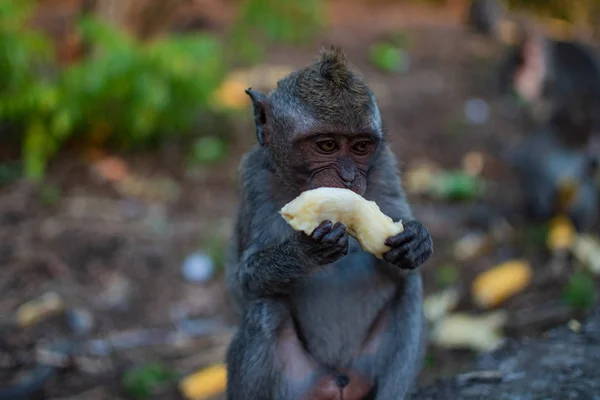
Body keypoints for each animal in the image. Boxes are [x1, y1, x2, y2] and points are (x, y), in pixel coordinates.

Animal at [223, 47, 434, 400]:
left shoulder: (384, 166)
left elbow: (402, 267)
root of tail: (338, 382)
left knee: (409, 290)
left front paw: (415, 241)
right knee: (267, 311)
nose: (348, 177)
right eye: (327, 145)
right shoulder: (254, 180)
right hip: (298, 383)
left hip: (364, 366)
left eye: (361, 146)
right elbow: (243, 286)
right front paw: (305, 252)